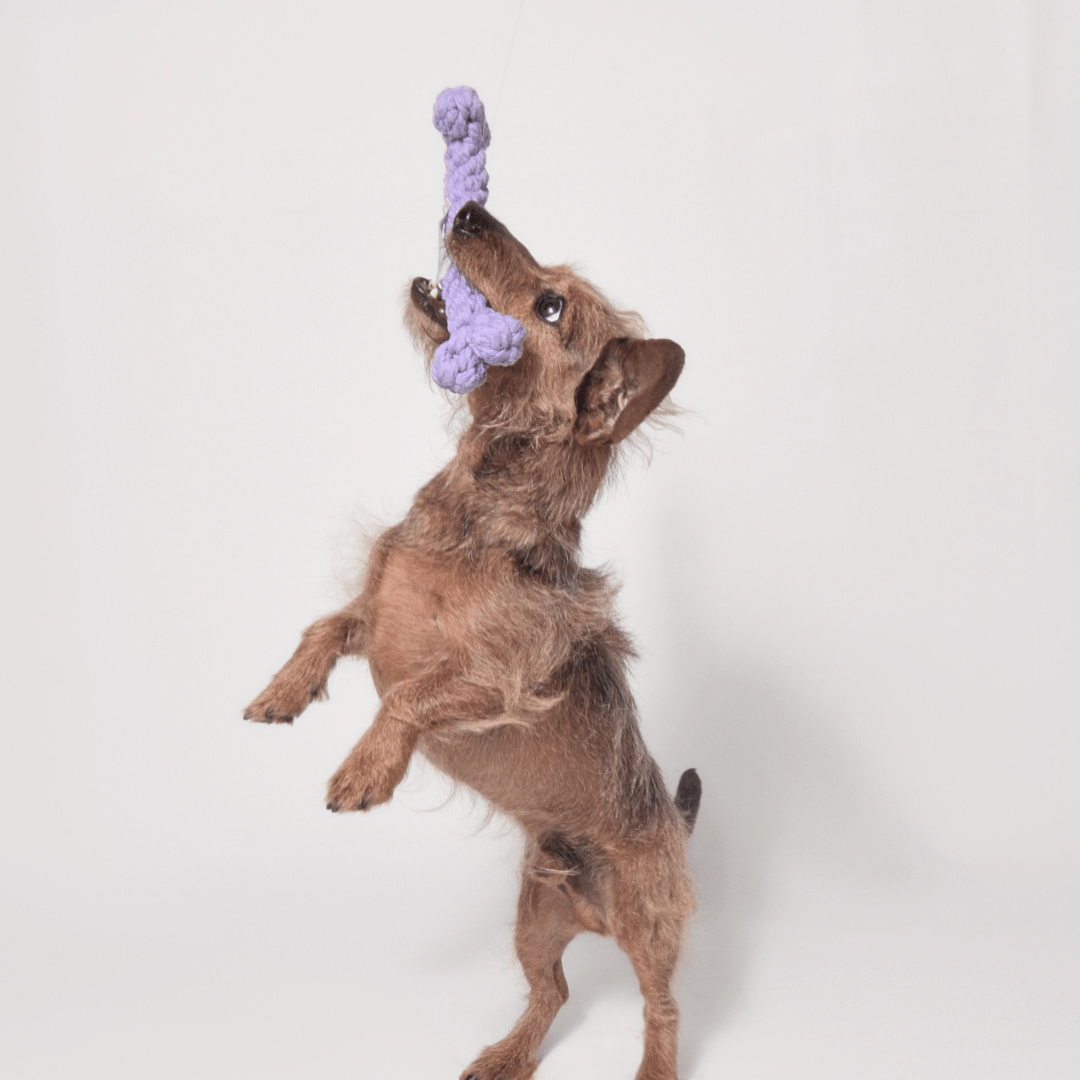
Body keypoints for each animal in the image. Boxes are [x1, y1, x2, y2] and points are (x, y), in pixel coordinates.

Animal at [245, 203, 699, 1080]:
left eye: (552, 308)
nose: (470, 211)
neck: (475, 514)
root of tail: (595, 914)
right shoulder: (374, 612)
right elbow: (325, 624)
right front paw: (284, 690)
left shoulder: (503, 679)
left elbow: (411, 696)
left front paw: (365, 768)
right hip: (534, 916)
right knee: (553, 991)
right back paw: (507, 1056)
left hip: (648, 921)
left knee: (663, 1007)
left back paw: (654, 1068)